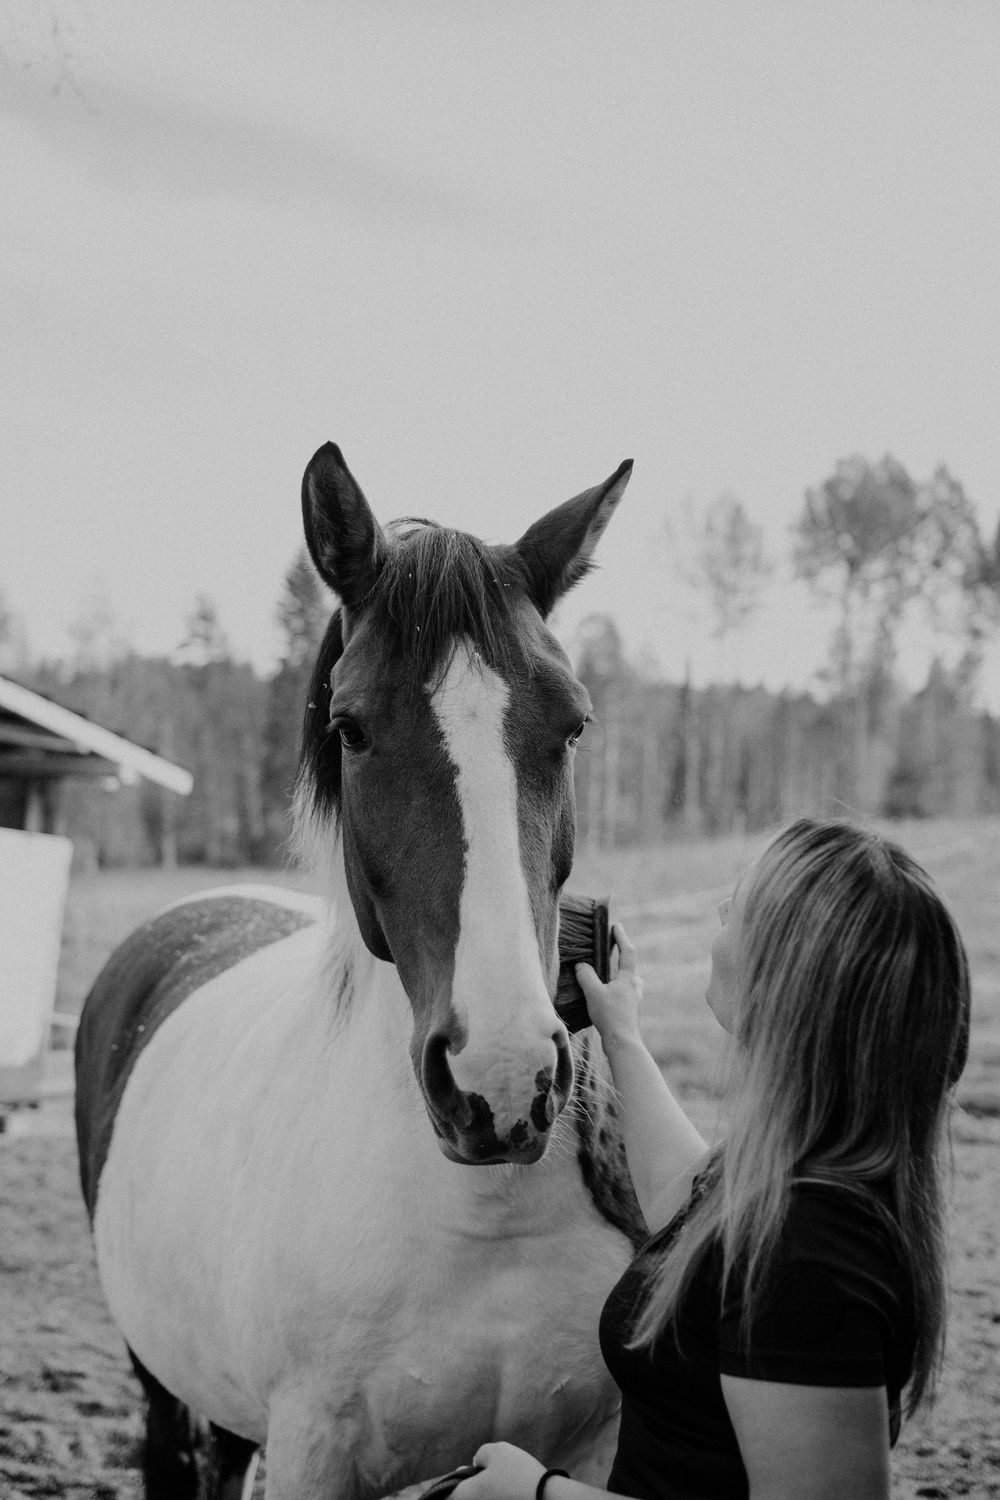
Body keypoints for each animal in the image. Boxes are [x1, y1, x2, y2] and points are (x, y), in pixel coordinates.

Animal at [74, 442, 644, 1500]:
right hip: (158, 1374)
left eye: (576, 724)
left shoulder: (589, 1447)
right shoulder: (313, 1452)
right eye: (352, 728)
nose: (501, 1081)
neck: (482, 1227)